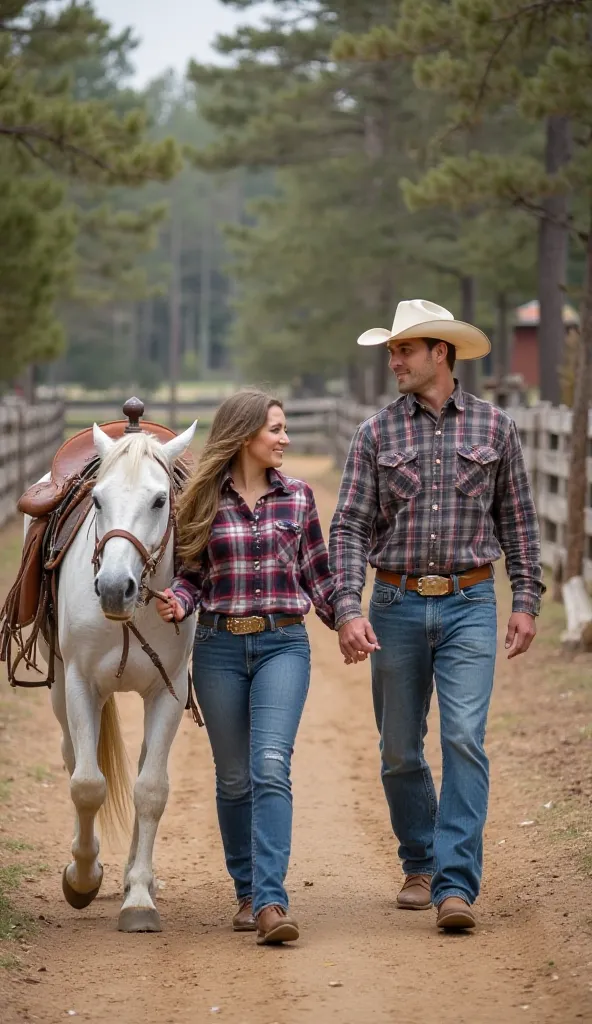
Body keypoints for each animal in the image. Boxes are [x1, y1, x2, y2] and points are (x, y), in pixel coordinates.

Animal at [26, 419, 195, 933]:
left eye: (159, 500)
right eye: (97, 500)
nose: (115, 588)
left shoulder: (168, 691)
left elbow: (151, 789)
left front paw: (139, 896)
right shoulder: (81, 683)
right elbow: (87, 784)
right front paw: (82, 877)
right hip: (62, 689)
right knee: (72, 757)